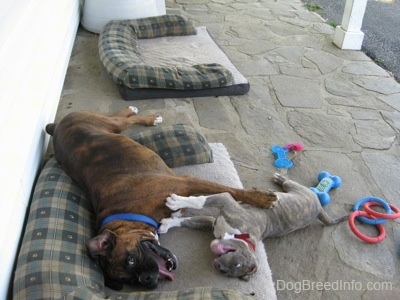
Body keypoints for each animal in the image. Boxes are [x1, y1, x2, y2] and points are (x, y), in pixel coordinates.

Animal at [45, 106, 276, 290]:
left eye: (130, 260)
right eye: (128, 281)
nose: (146, 279)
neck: (129, 211)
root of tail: (56, 126)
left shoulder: (186, 182)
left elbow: (230, 191)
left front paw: (260, 198)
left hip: (108, 124)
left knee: (123, 120)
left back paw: (142, 115)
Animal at [159, 173, 346, 282]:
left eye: (231, 271)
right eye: (238, 264)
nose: (218, 266)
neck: (241, 236)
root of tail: (319, 208)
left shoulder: (212, 221)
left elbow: (190, 220)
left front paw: (169, 221)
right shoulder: (225, 203)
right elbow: (199, 201)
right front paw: (176, 204)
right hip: (298, 189)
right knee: (289, 183)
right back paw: (280, 178)